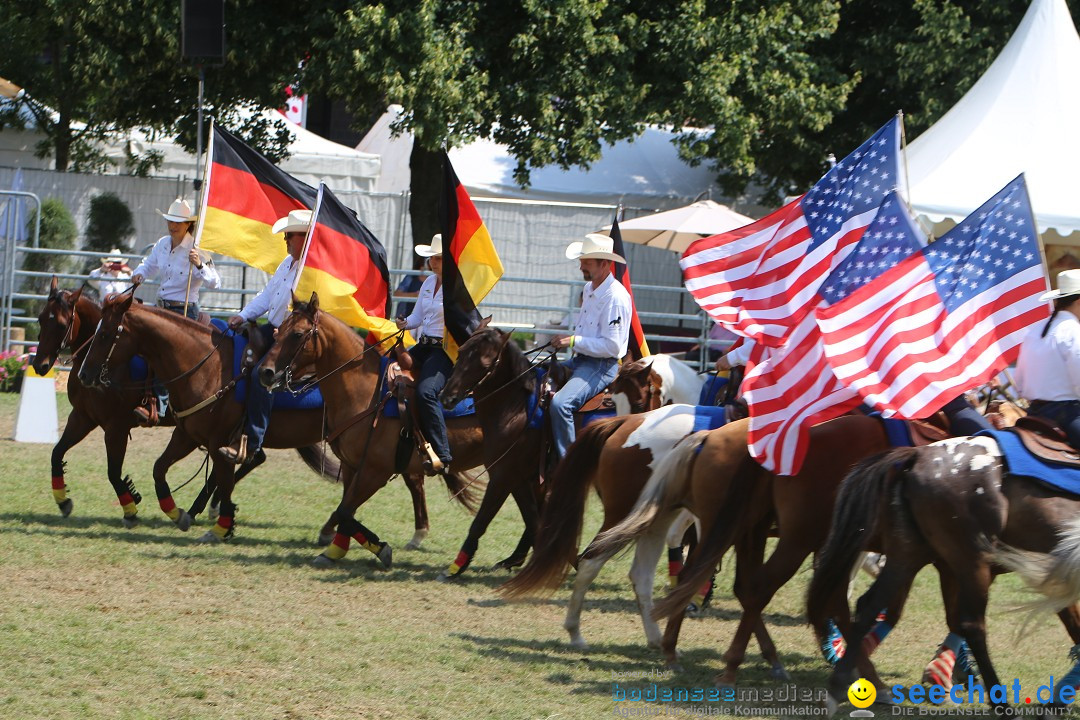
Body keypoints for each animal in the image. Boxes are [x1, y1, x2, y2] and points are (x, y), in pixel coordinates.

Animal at [257, 295, 481, 569]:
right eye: (278, 331)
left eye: (298, 334)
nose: (265, 372)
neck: (365, 392)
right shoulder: (352, 466)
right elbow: (346, 508)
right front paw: (336, 549)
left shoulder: (375, 472)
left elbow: (345, 509)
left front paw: (376, 547)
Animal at [807, 433, 1080, 716]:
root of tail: (917, 456)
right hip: (972, 560)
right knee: (972, 625)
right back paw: (1001, 705)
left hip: (909, 554)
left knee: (870, 605)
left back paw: (841, 688)